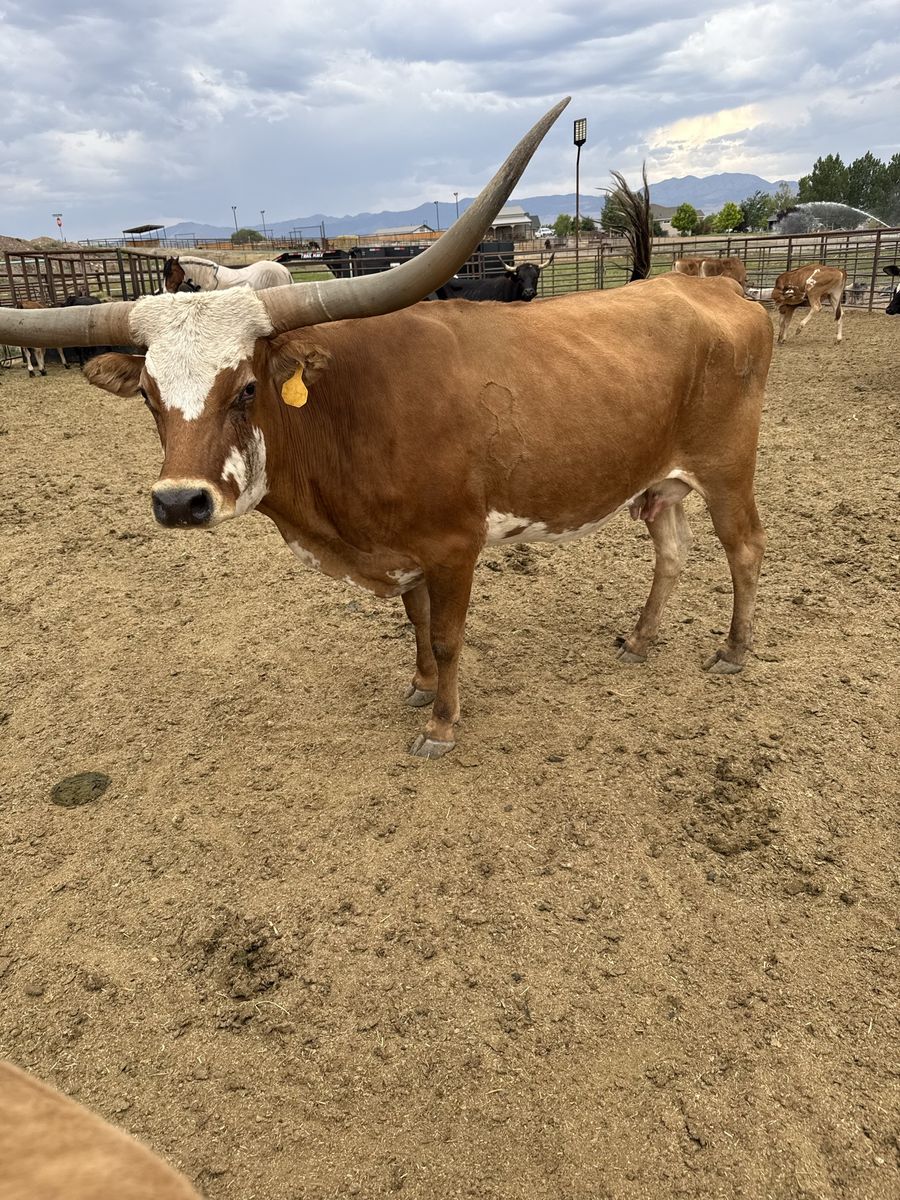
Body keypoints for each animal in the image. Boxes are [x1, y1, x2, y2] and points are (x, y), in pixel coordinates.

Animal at [0, 99, 773, 761]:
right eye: (149, 397)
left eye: (247, 387)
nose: (178, 502)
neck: (345, 415)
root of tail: (713, 285)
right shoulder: (403, 549)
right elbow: (416, 621)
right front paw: (422, 687)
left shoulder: (455, 546)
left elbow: (451, 633)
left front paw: (442, 725)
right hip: (661, 482)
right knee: (671, 551)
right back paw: (641, 639)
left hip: (727, 470)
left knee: (744, 550)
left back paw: (734, 651)